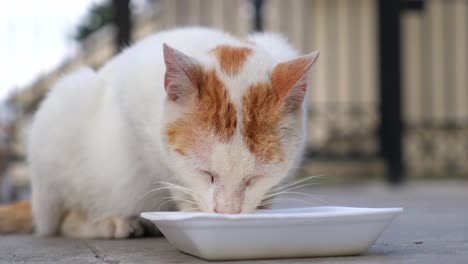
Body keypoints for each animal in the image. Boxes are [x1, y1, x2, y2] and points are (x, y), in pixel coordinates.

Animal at [0, 27, 318, 239]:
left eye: (254, 177)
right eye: (206, 174)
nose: (227, 212)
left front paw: (261, 207)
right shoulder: (132, 98)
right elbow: (168, 172)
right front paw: (191, 210)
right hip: (61, 110)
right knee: (62, 221)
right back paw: (111, 223)